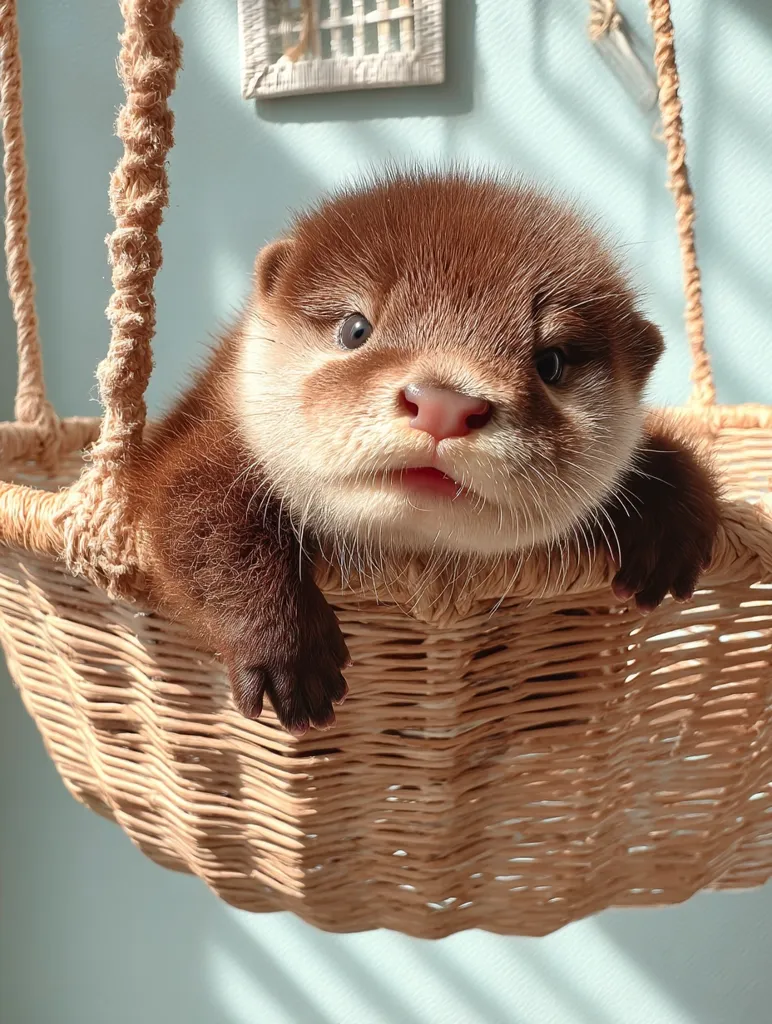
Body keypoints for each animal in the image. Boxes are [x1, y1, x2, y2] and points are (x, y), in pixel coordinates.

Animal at [130, 171, 720, 734]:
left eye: (550, 362)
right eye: (356, 329)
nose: (443, 406)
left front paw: (670, 527)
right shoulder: (202, 436)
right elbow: (193, 510)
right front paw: (285, 651)